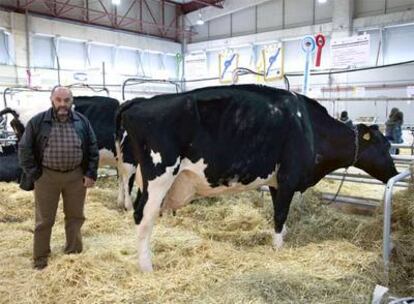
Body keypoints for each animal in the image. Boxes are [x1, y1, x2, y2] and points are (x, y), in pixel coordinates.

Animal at [115, 84, 398, 272]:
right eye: (385, 146)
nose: (396, 174)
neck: (310, 128)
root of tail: (137, 102)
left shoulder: (276, 183)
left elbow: (279, 215)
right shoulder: (288, 178)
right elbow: (280, 215)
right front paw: (278, 248)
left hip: (143, 177)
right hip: (159, 175)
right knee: (143, 218)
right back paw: (147, 267)